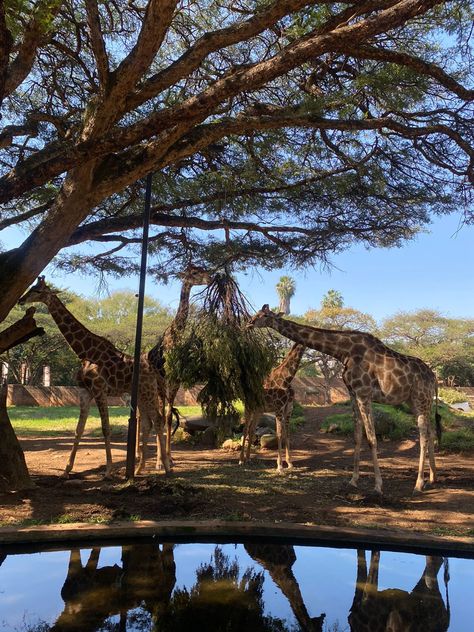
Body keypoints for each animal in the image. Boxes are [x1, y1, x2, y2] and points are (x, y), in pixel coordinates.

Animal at [19, 278, 170, 476]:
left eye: (37, 291)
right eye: (31, 287)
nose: (21, 300)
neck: (85, 352)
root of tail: (153, 370)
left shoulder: (99, 390)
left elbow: (106, 428)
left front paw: (108, 471)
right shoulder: (85, 391)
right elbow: (78, 429)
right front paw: (66, 469)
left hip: (148, 392)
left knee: (158, 420)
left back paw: (166, 467)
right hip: (142, 395)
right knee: (147, 422)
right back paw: (139, 468)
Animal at [147, 262, 212, 464]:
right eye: (194, 272)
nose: (211, 278)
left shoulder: (176, 380)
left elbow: (168, 416)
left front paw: (169, 457)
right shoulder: (163, 379)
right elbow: (162, 416)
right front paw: (160, 461)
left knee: (159, 414)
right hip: (154, 384)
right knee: (153, 414)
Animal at [239, 344, 306, 472]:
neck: (287, 379)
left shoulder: (288, 409)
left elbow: (287, 433)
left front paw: (289, 463)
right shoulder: (278, 408)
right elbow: (279, 434)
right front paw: (279, 466)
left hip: (258, 411)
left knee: (251, 430)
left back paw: (248, 458)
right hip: (249, 407)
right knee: (245, 430)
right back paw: (241, 460)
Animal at [248, 304, 440, 494]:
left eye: (264, 315)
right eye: (257, 313)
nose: (249, 323)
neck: (343, 351)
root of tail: (434, 377)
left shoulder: (364, 393)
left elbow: (372, 439)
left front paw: (378, 485)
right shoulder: (353, 394)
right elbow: (357, 437)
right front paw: (353, 480)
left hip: (421, 399)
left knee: (423, 435)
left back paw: (418, 484)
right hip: (415, 402)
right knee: (430, 432)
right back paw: (432, 478)